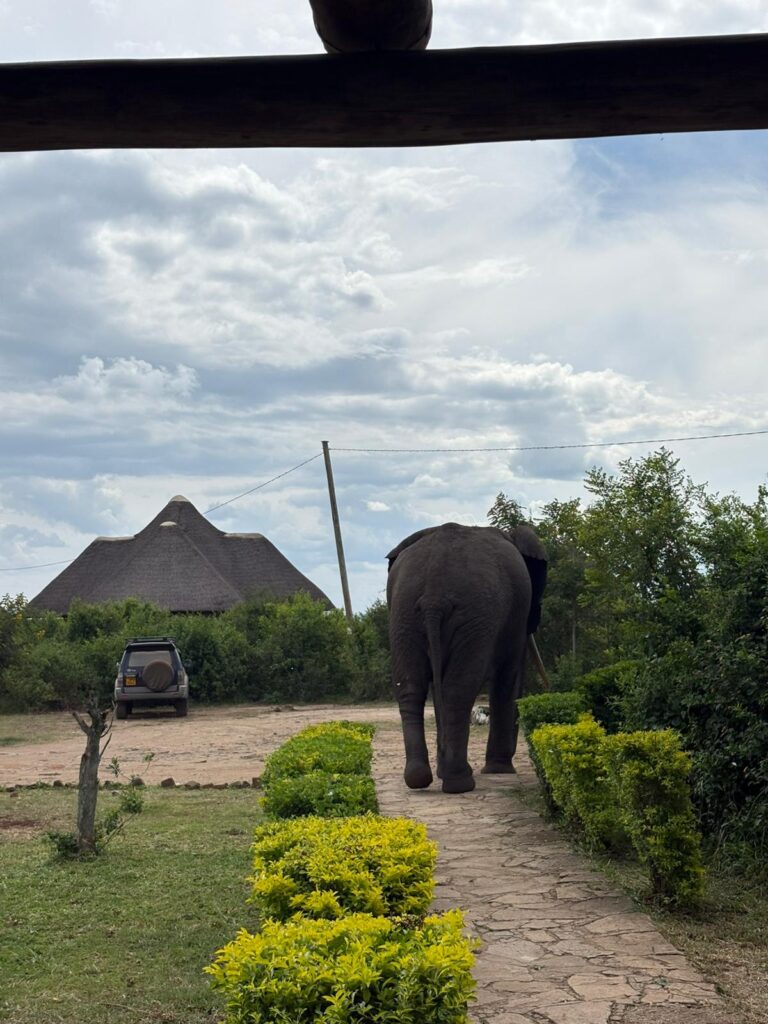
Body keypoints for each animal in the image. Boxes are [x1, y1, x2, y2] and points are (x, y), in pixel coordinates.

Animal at [386, 522, 548, 794]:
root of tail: (434, 597)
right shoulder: (516, 616)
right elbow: (508, 676)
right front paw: (499, 771)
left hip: (404, 613)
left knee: (411, 688)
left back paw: (420, 778)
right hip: (475, 615)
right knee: (458, 689)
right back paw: (460, 783)